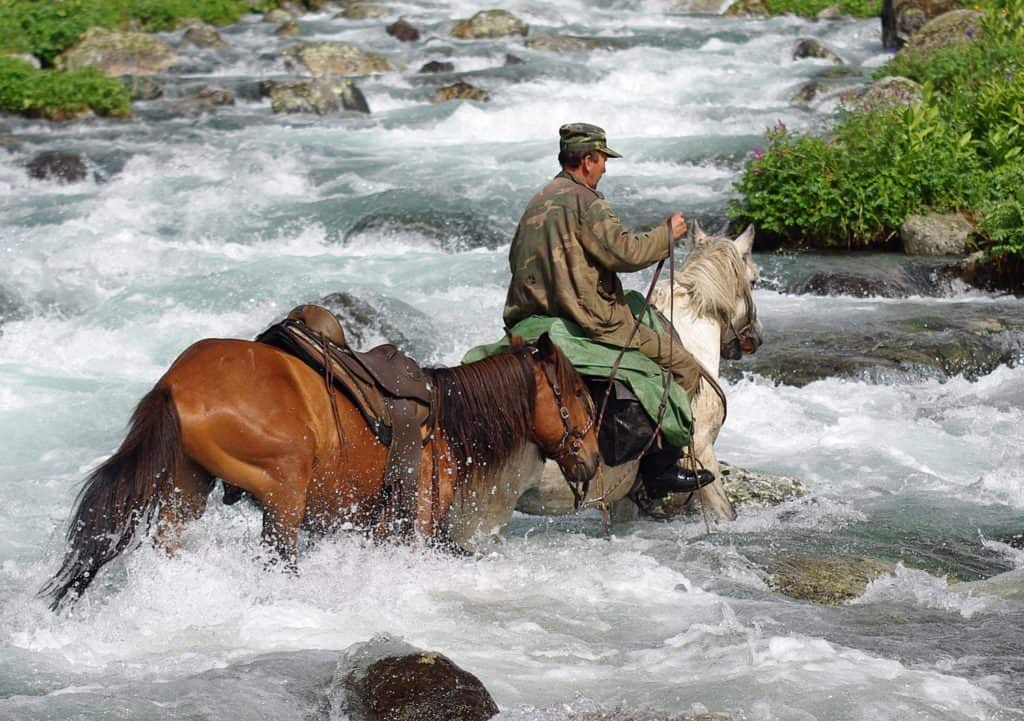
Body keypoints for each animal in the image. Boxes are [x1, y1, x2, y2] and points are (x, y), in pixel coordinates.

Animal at [41, 331, 598, 606]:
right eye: (576, 391)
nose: (592, 459)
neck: (442, 423)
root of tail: (173, 384)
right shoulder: (414, 521)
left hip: (186, 492)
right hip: (283, 494)